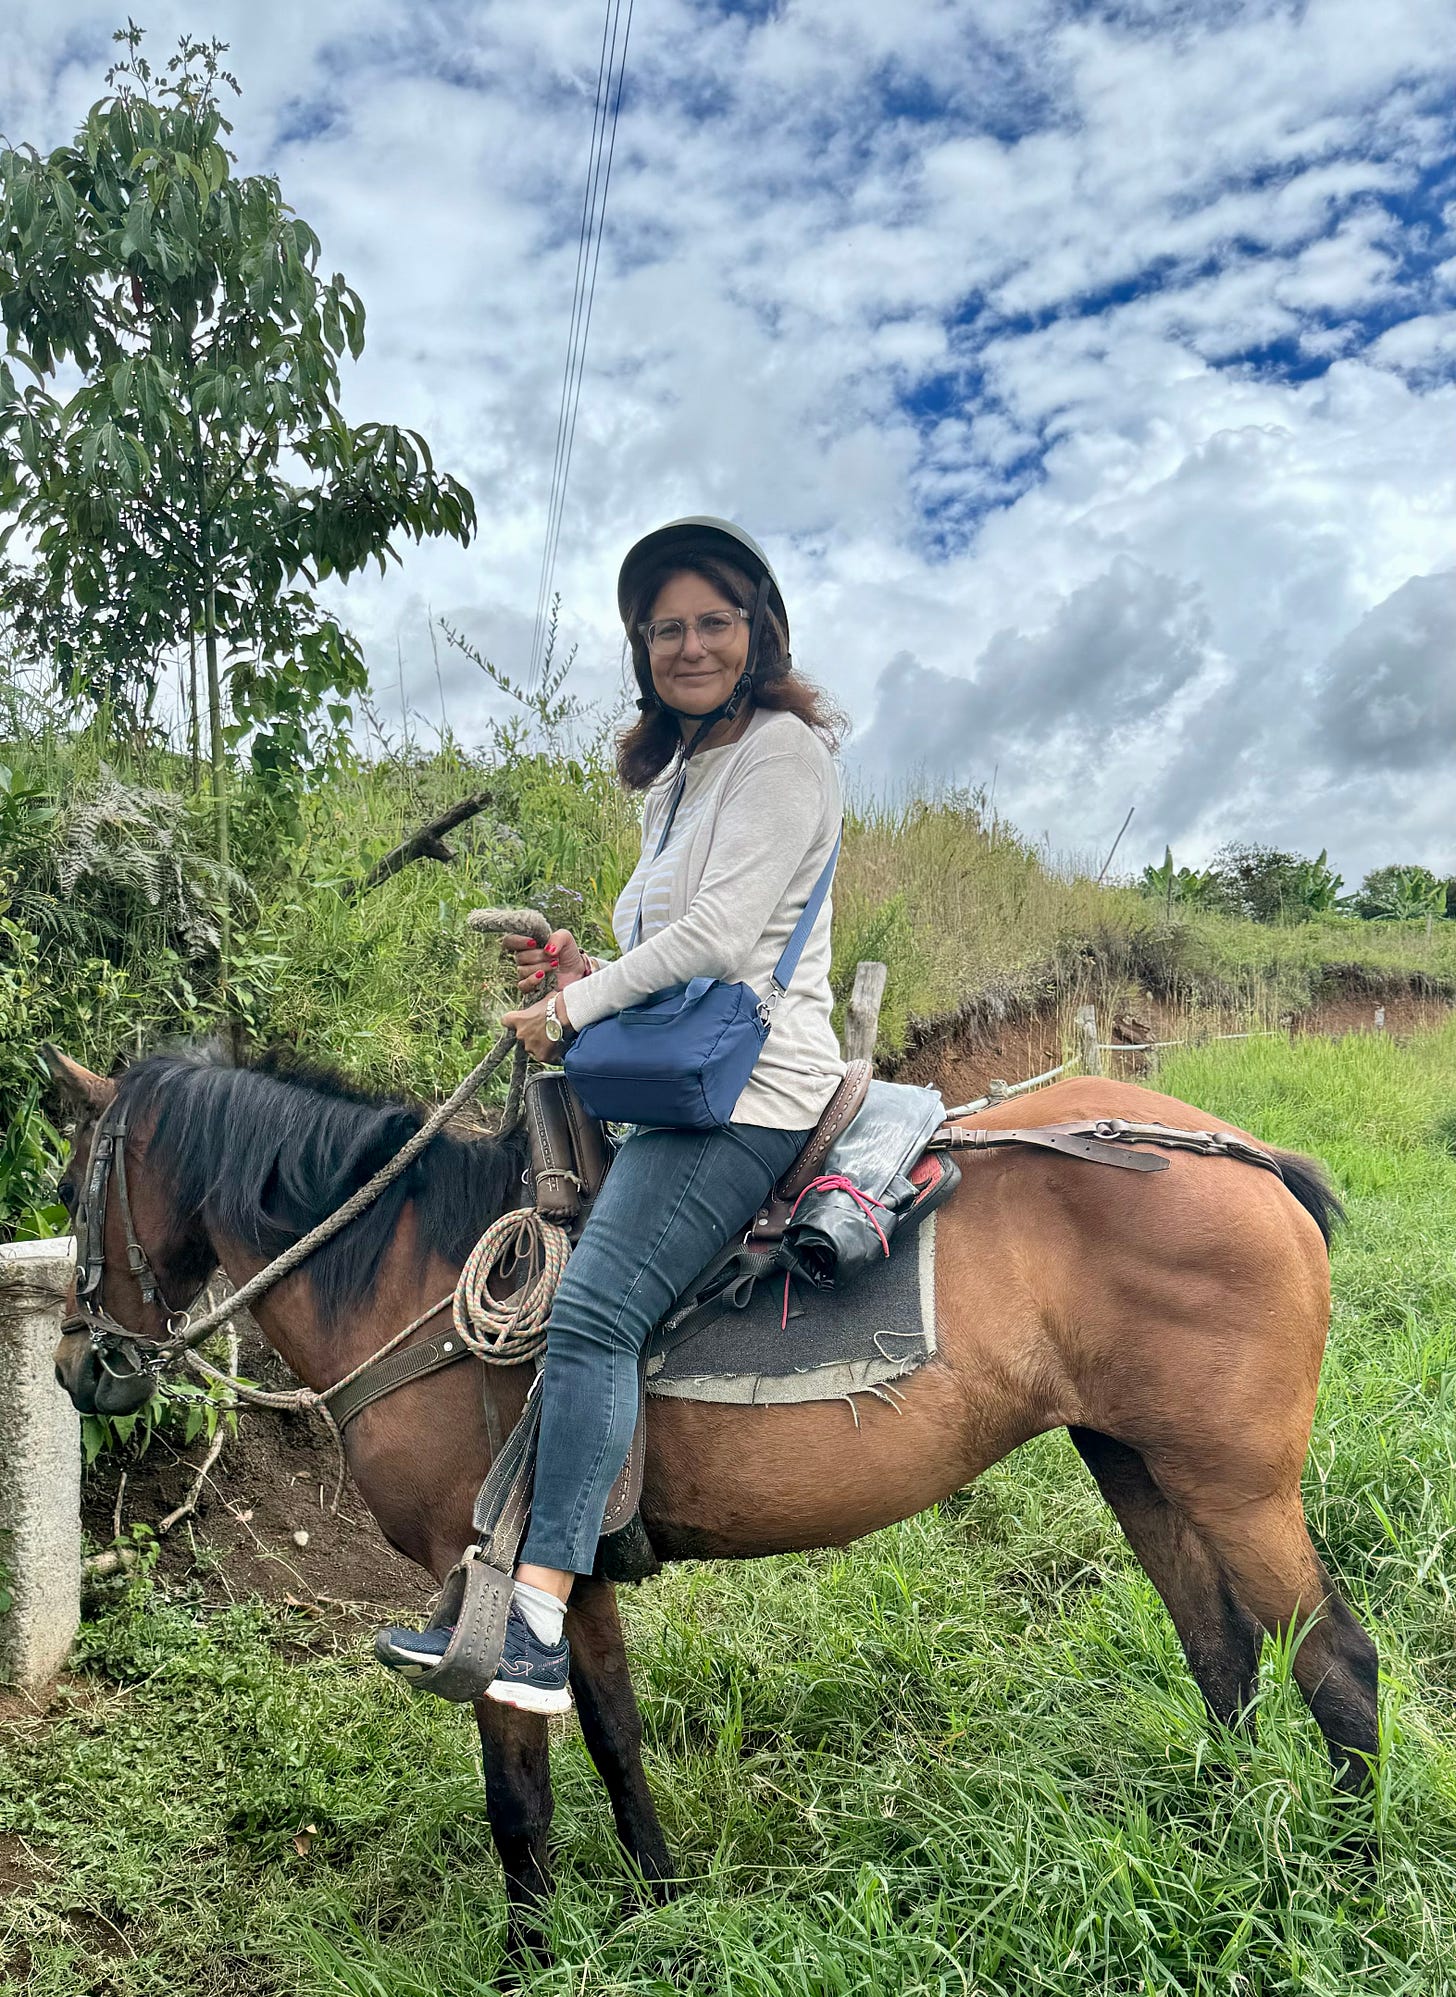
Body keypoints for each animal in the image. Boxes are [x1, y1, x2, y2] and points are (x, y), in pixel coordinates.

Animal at [42, 1046, 1374, 1949]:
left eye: (66, 1191)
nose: (75, 1368)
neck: (409, 1275)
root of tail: (1246, 1157)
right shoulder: (565, 1572)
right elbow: (614, 1733)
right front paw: (660, 1906)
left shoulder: (478, 1583)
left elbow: (516, 1797)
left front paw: (531, 1956)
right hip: (1133, 1458)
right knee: (1218, 1648)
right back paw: (1216, 1834)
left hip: (1237, 1482)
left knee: (1337, 1665)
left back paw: (1346, 1879)